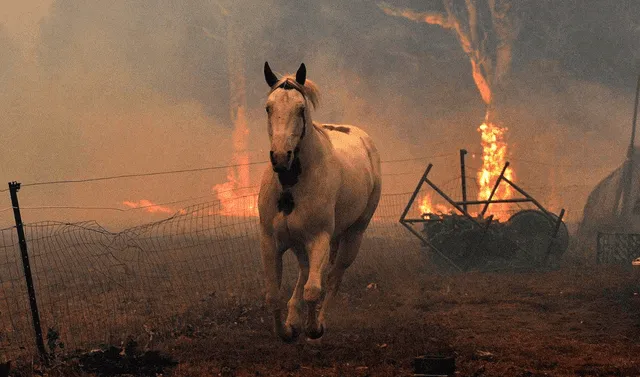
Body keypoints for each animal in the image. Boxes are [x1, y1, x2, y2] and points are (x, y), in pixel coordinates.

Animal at [258, 62, 382, 340]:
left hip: (353, 236)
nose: (280, 157)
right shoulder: (271, 241)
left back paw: (319, 321)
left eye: (300, 109)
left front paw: (313, 328)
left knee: (333, 277)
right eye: (269, 107)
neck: (291, 185)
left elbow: (314, 289)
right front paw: (287, 331)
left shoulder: (319, 238)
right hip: (301, 243)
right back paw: (294, 319)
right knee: (305, 273)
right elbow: (273, 295)